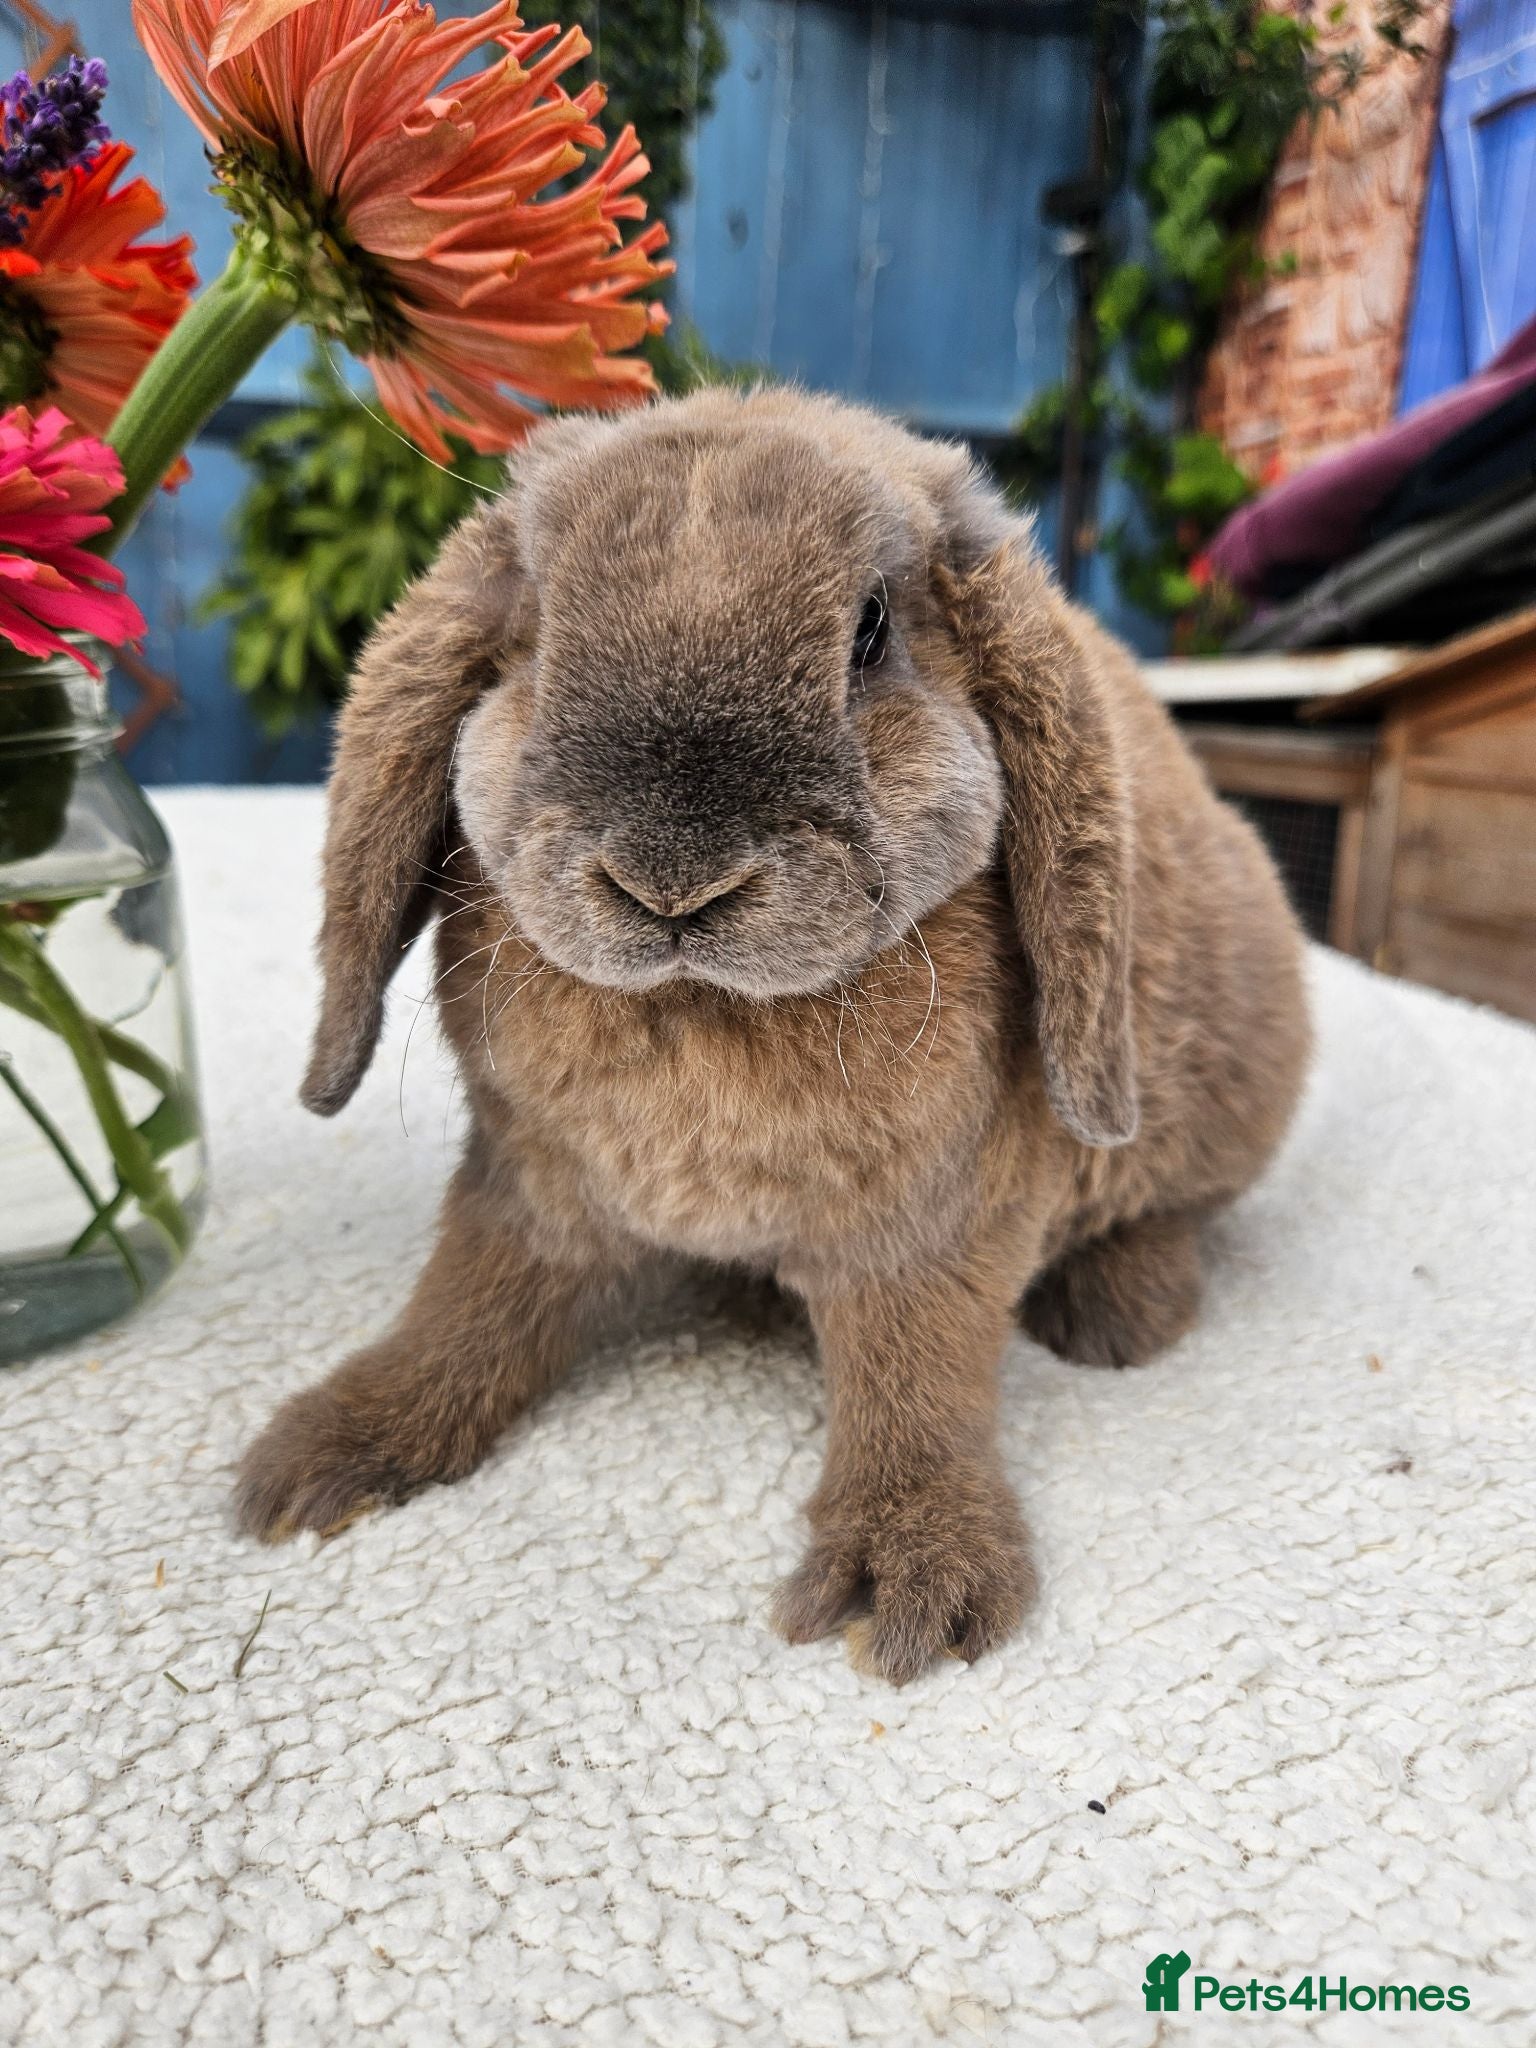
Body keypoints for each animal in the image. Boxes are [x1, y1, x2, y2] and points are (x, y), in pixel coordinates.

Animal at [236, 386, 1310, 1683]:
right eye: (536, 628)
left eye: (871, 633)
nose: (671, 879)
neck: (704, 1009)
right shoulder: (527, 1186)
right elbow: (466, 1310)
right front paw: (328, 1451)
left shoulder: (933, 1228)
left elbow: (916, 1381)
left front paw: (911, 1580)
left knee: (1176, 1212)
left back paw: (1116, 1315)